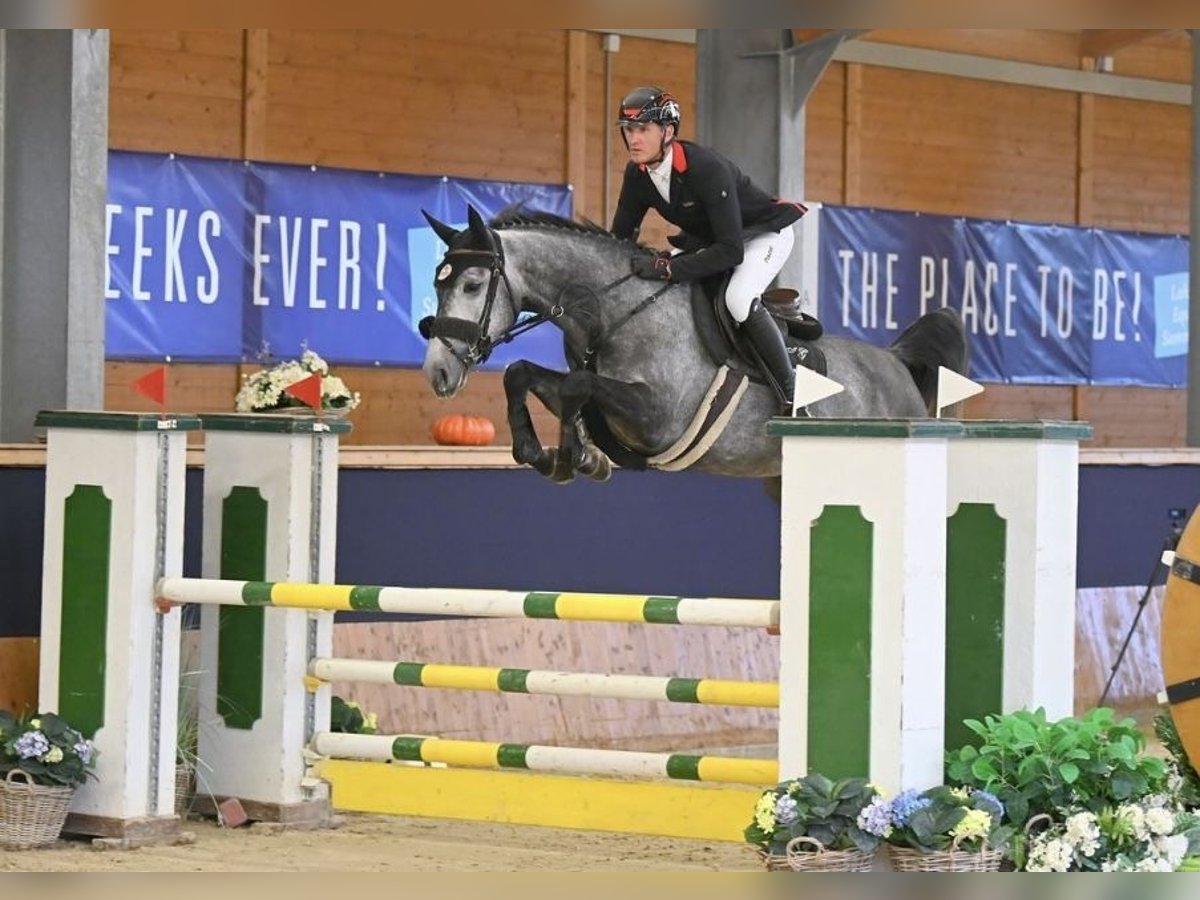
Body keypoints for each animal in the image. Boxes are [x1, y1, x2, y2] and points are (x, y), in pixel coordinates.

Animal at [420, 207, 964, 487]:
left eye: (471, 284)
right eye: (435, 283)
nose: (437, 374)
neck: (616, 309)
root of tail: (896, 363)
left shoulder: (658, 417)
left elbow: (577, 384)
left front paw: (573, 456)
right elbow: (528, 375)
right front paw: (558, 456)